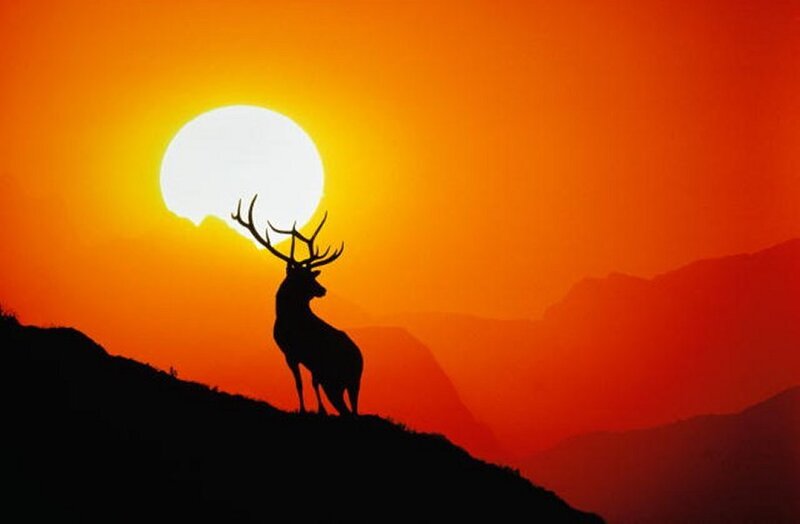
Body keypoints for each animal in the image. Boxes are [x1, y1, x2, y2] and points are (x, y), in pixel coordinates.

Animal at [232, 194, 363, 416]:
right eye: (304, 277)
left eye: (311, 276)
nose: (323, 290)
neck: (286, 317)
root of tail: (360, 360)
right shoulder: (299, 359)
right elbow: (305, 383)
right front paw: (312, 409)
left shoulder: (297, 355)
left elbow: (304, 383)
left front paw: (311, 409)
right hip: (349, 384)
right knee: (351, 409)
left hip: (340, 380)